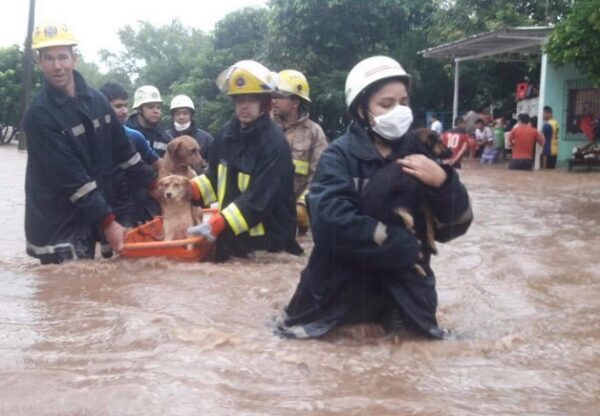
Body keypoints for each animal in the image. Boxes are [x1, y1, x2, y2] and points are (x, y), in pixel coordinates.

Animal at [358, 127, 452, 276]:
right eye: (440, 141)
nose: (452, 152)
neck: (411, 151)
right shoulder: (425, 201)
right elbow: (430, 224)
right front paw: (432, 244)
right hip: (404, 217)